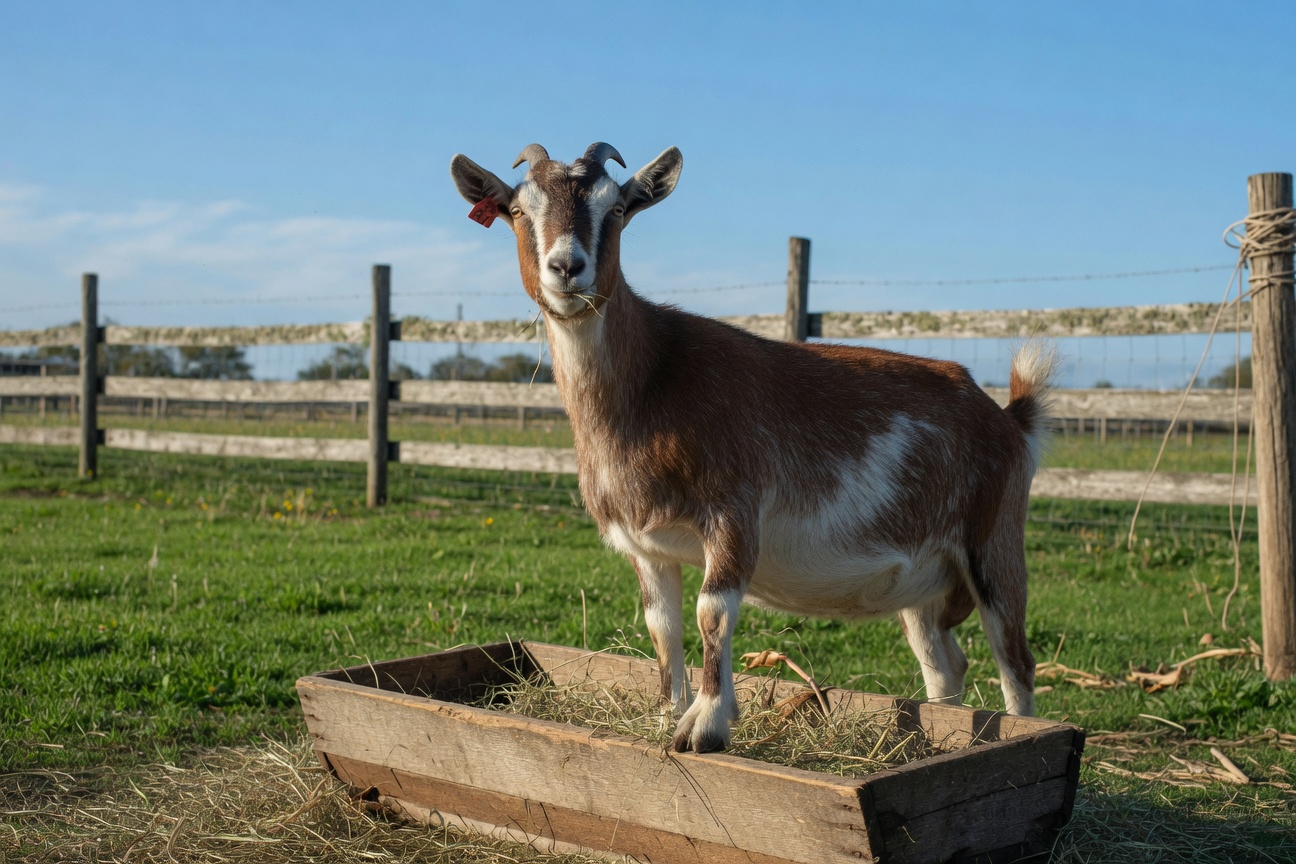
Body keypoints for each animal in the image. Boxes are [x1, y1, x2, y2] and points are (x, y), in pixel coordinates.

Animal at [450, 142, 1056, 753]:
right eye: (518, 211)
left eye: (617, 209)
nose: (567, 268)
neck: (651, 383)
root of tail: (1007, 418)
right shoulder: (645, 545)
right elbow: (663, 628)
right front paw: (666, 717)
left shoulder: (734, 513)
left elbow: (712, 612)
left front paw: (706, 724)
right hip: (925, 583)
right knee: (945, 663)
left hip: (994, 543)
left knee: (1015, 660)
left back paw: (1026, 730)